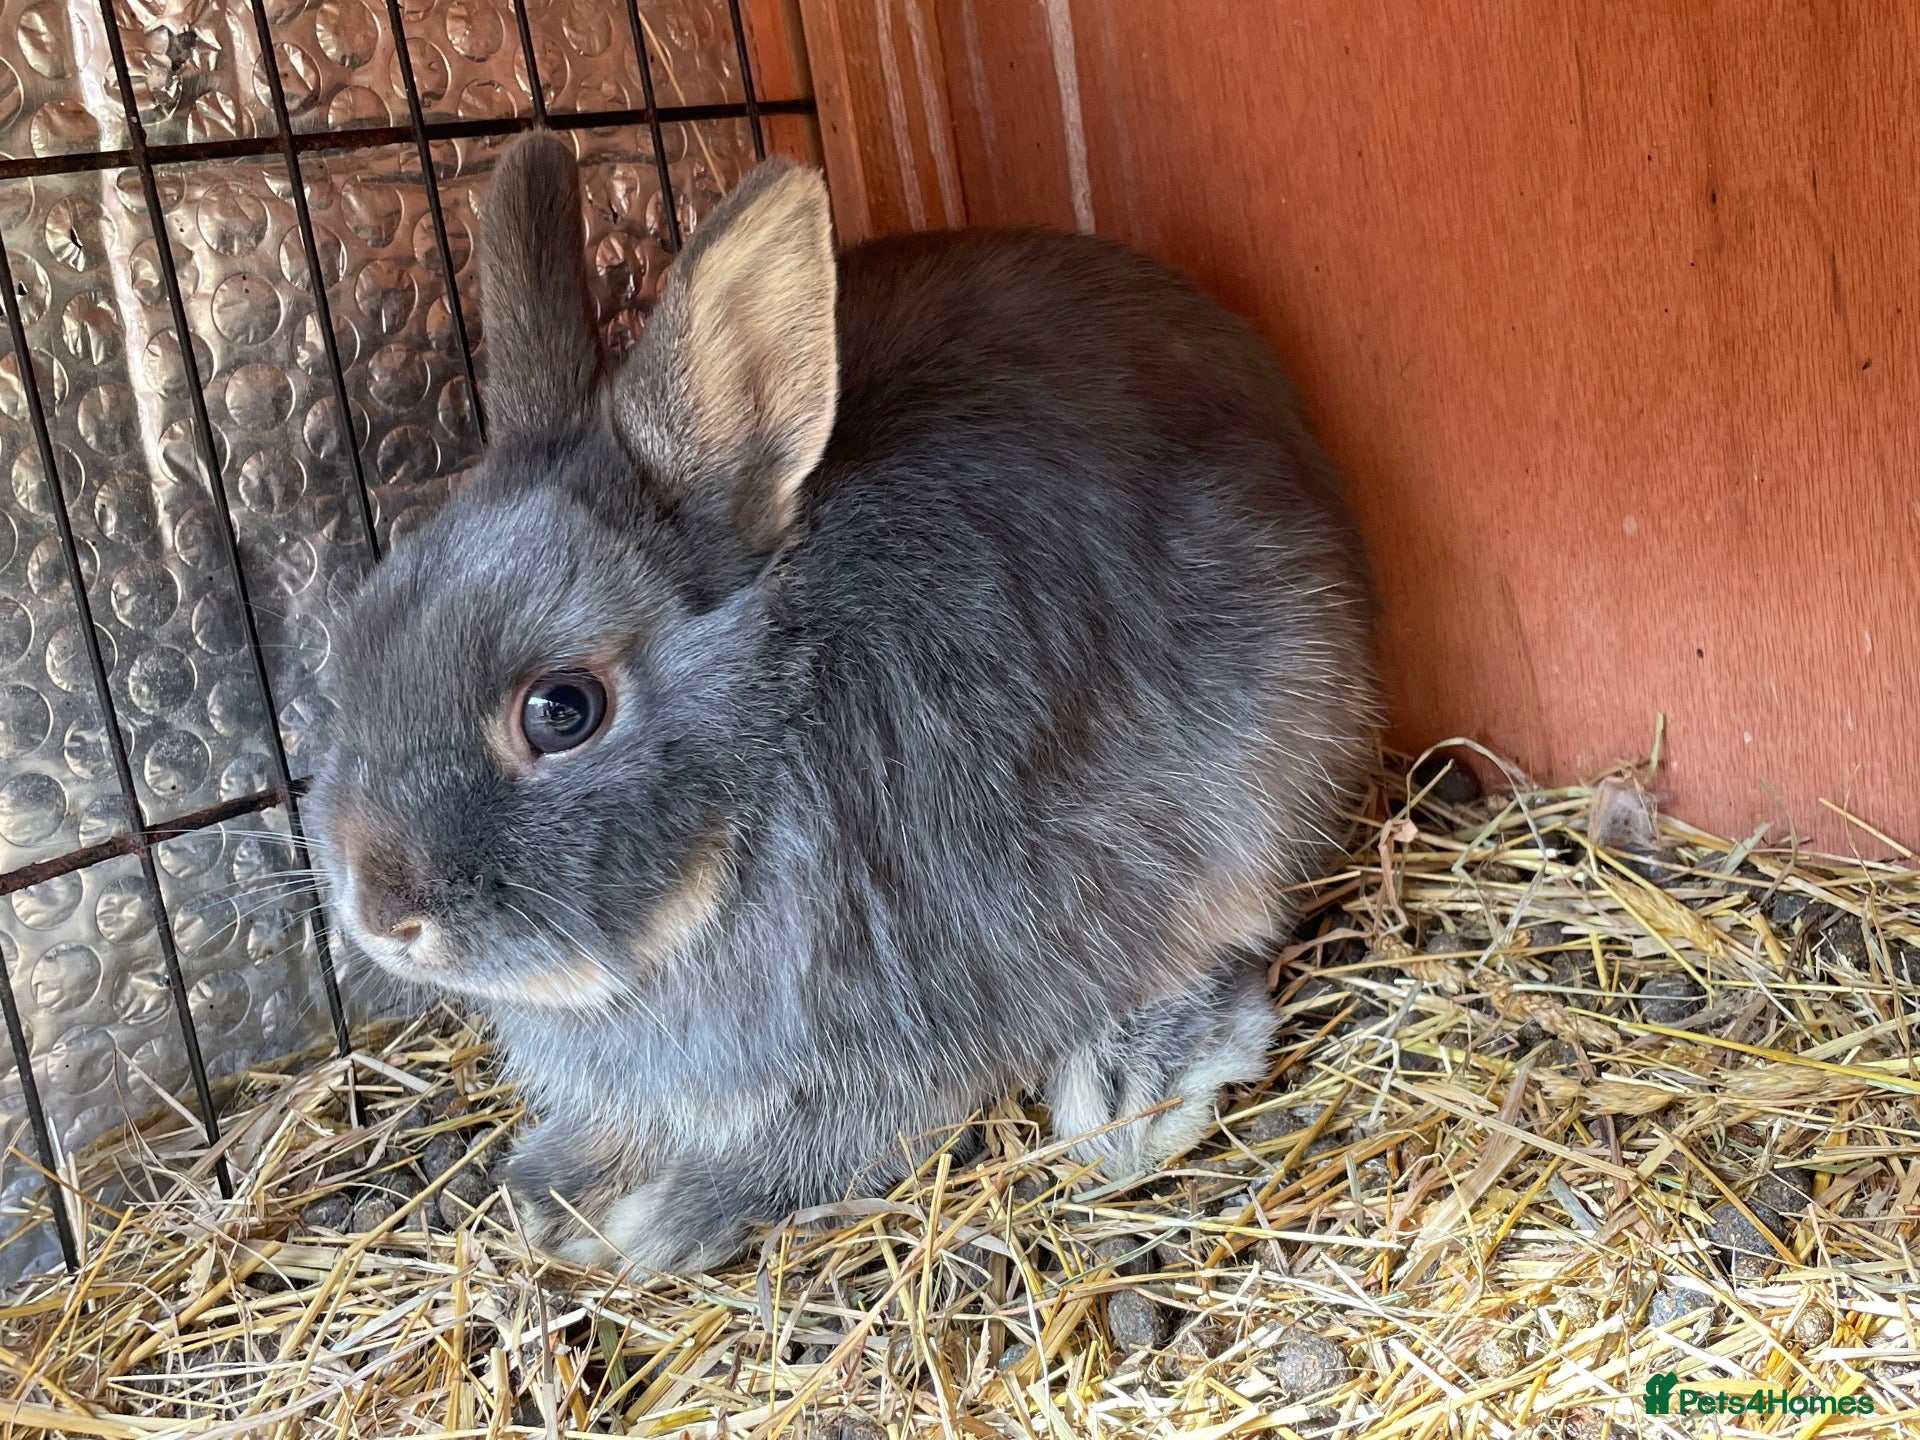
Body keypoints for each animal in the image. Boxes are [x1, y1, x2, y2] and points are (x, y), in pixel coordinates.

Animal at [307, 130, 1380, 1274]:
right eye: (352, 646)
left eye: (561, 710)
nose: (382, 915)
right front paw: (564, 1184)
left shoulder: (927, 996)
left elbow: (854, 1123)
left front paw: (676, 1216)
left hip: (1262, 773)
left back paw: (1134, 1081)